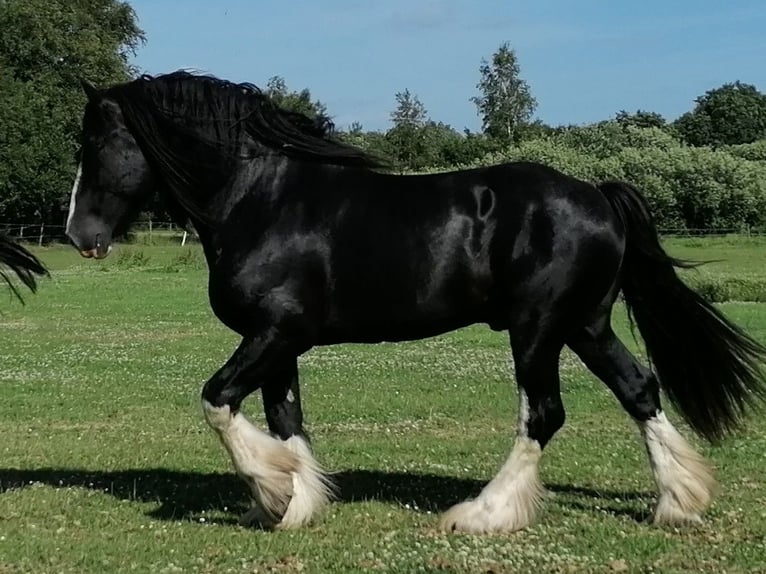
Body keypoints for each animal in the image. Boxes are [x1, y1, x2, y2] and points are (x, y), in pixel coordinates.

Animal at [65, 70, 766, 534]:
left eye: (95, 144)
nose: (78, 235)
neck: (263, 200)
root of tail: (597, 193)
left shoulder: (274, 334)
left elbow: (218, 402)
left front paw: (272, 488)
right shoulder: (281, 343)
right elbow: (287, 420)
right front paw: (295, 503)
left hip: (538, 328)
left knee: (543, 414)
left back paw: (482, 514)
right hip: (586, 325)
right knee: (639, 389)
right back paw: (678, 501)